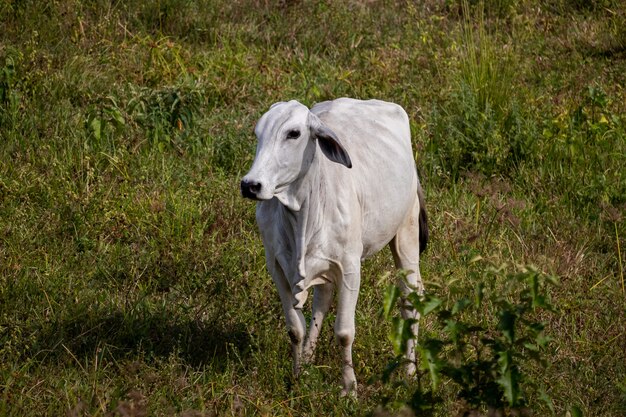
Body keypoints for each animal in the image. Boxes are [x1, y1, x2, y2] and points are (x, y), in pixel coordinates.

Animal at [239, 98, 424, 396]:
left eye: (294, 133)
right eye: (258, 134)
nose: (250, 185)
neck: (302, 214)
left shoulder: (350, 268)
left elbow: (344, 333)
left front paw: (349, 388)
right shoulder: (277, 267)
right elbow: (295, 328)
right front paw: (297, 376)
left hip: (406, 234)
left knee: (411, 296)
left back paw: (409, 369)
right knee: (322, 300)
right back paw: (308, 358)